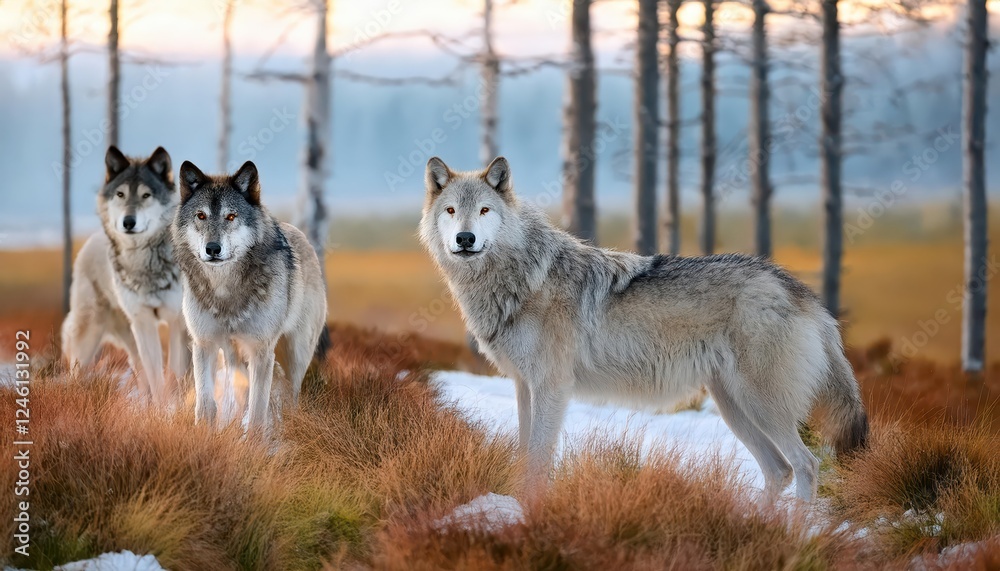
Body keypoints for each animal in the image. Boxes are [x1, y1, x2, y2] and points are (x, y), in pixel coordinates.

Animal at [62, 146, 190, 405]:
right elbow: (157, 377)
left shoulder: (176, 322)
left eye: (146, 195)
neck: (144, 262)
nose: (128, 222)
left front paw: (173, 407)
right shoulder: (144, 322)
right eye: (120, 194)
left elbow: (173, 372)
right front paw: (162, 410)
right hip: (92, 337)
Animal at [172, 160, 327, 429]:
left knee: (290, 395)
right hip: (235, 358)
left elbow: (257, 412)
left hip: (294, 355)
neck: (224, 290)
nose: (213, 249)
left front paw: (254, 438)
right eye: (200, 216)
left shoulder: (261, 350)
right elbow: (205, 404)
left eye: (231, 216)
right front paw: (203, 433)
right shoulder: (204, 344)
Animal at [419, 156, 868, 503]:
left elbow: (538, 459)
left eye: (484, 211)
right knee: (779, 470)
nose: (464, 238)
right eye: (451, 211)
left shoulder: (552, 387)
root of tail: (799, 290)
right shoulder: (523, 386)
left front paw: (530, 509)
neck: (522, 278)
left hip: (761, 405)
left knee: (806, 465)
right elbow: (524, 454)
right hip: (734, 407)